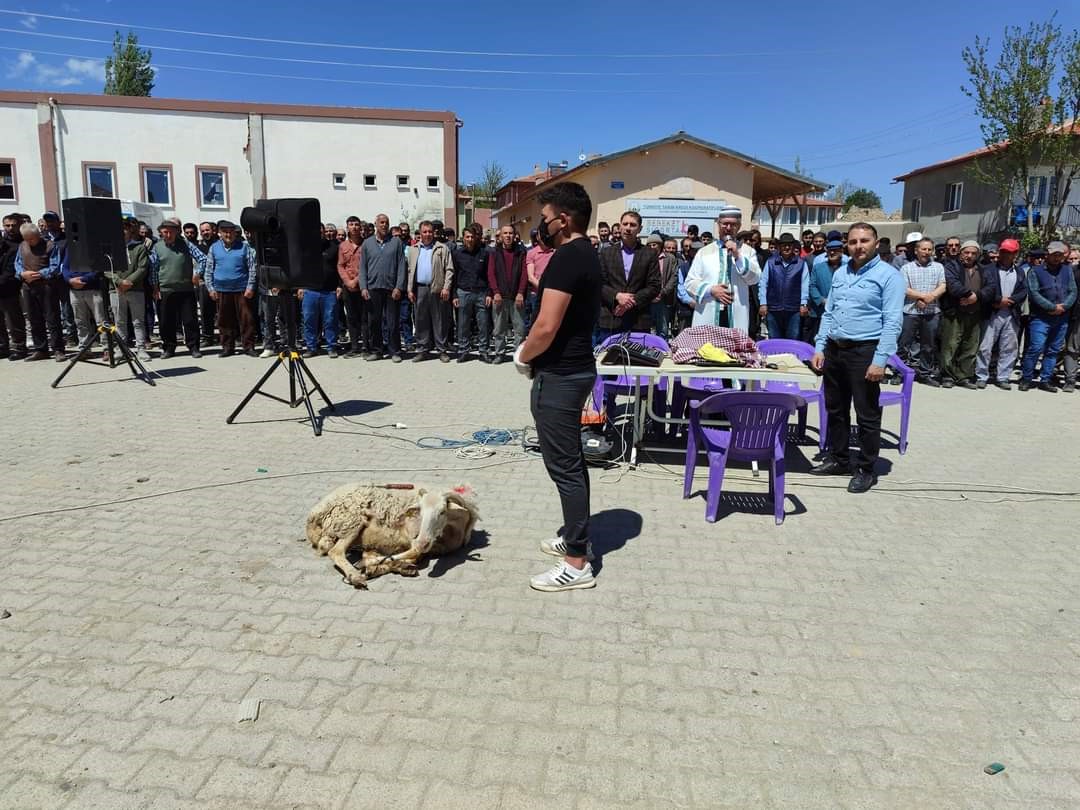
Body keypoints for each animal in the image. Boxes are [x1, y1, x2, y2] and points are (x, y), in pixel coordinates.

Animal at [302, 481, 475, 591]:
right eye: (420, 511)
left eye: (442, 512)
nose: (423, 541)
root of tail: (315, 513)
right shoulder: (410, 533)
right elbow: (414, 552)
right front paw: (370, 565)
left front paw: (387, 566)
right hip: (351, 521)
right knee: (335, 552)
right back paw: (356, 576)